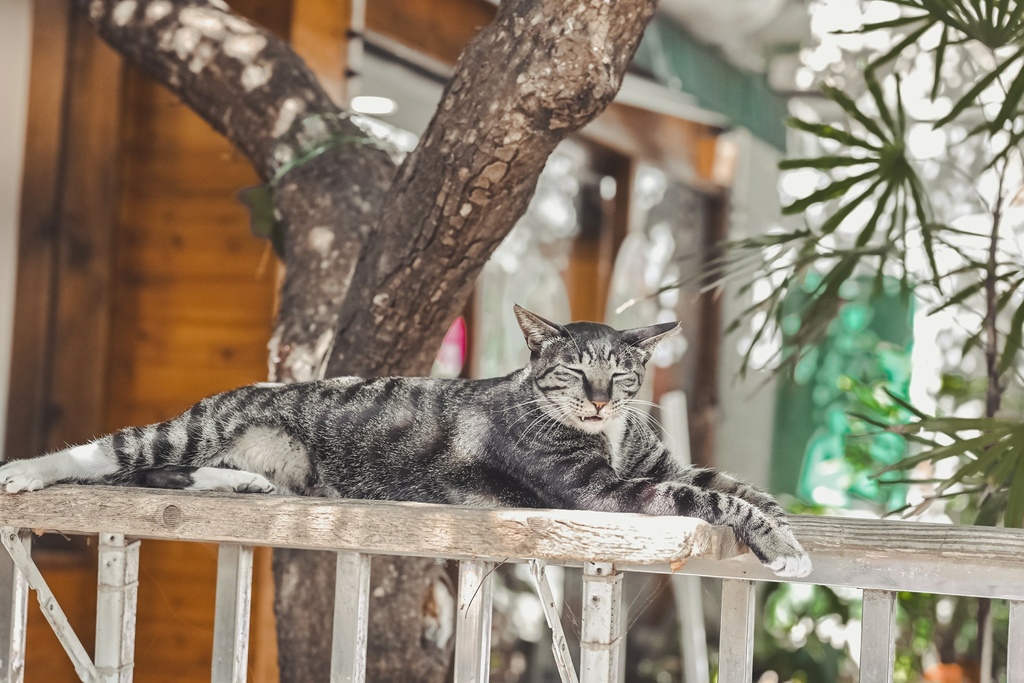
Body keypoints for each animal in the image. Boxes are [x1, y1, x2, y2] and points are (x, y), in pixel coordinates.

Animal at [2, 307, 815, 581]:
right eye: (573, 370)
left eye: (620, 373)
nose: (597, 400)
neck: (609, 436)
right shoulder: (606, 491)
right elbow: (707, 497)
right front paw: (781, 546)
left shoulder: (660, 459)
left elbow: (735, 484)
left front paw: (789, 529)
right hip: (186, 428)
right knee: (113, 455)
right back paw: (23, 472)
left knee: (172, 476)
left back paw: (246, 485)